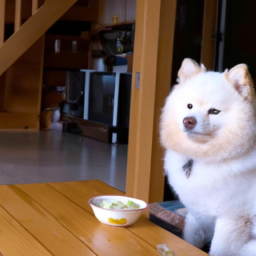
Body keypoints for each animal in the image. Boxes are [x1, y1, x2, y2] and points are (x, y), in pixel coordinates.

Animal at [161, 58, 256, 256]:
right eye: (189, 106)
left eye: (214, 111)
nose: (188, 121)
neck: (201, 156)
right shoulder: (196, 215)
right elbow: (191, 239)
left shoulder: (232, 221)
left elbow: (218, 249)